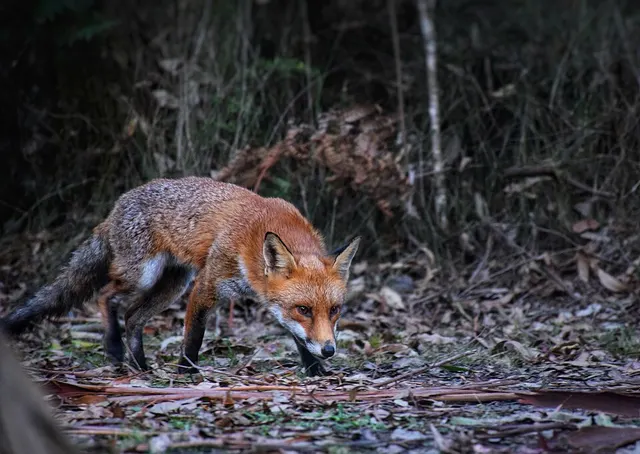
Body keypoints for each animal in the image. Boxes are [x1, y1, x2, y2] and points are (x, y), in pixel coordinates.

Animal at [1, 177, 360, 377]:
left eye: (334, 310)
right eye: (304, 309)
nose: (330, 350)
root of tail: (114, 209)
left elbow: (298, 338)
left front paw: (314, 369)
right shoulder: (207, 285)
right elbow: (193, 337)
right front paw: (185, 372)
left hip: (171, 285)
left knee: (132, 316)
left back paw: (140, 366)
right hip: (144, 276)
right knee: (107, 296)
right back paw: (115, 346)